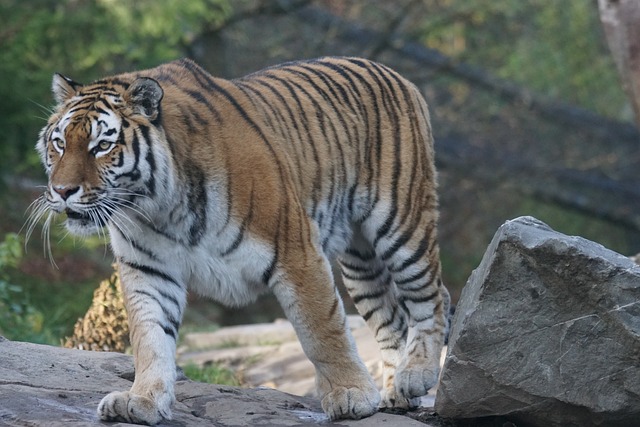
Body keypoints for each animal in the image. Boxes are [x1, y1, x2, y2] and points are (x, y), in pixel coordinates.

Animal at [31, 56, 450, 424]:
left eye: (102, 145)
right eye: (59, 143)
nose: (63, 191)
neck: (158, 205)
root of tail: (396, 74)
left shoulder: (296, 253)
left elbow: (323, 330)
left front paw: (351, 395)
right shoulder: (148, 269)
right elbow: (150, 339)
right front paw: (142, 401)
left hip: (401, 224)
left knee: (432, 297)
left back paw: (417, 375)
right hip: (360, 260)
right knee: (391, 316)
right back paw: (396, 393)